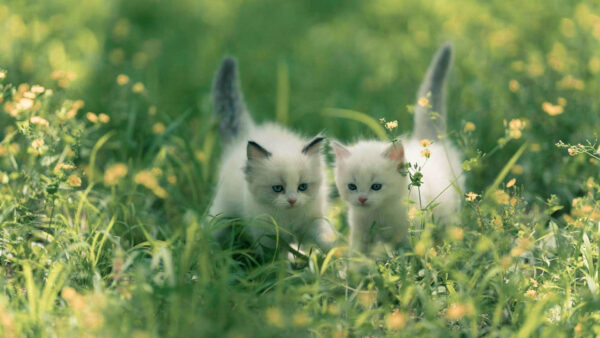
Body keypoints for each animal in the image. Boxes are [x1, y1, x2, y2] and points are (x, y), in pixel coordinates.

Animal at [210, 58, 332, 252]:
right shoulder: (266, 234)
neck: (289, 218)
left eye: (303, 187)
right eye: (277, 188)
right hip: (222, 211)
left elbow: (325, 236)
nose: (292, 200)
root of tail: (244, 136)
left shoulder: (313, 220)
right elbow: (275, 255)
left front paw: (339, 254)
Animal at [332, 43, 464, 254]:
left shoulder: (409, 233)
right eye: (352, 186)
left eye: (376, 186)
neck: (378, 215)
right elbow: (358, 256)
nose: (362, 199)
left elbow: (408, 255)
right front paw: (353, 265)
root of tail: (426, 141)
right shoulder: (360, 235)